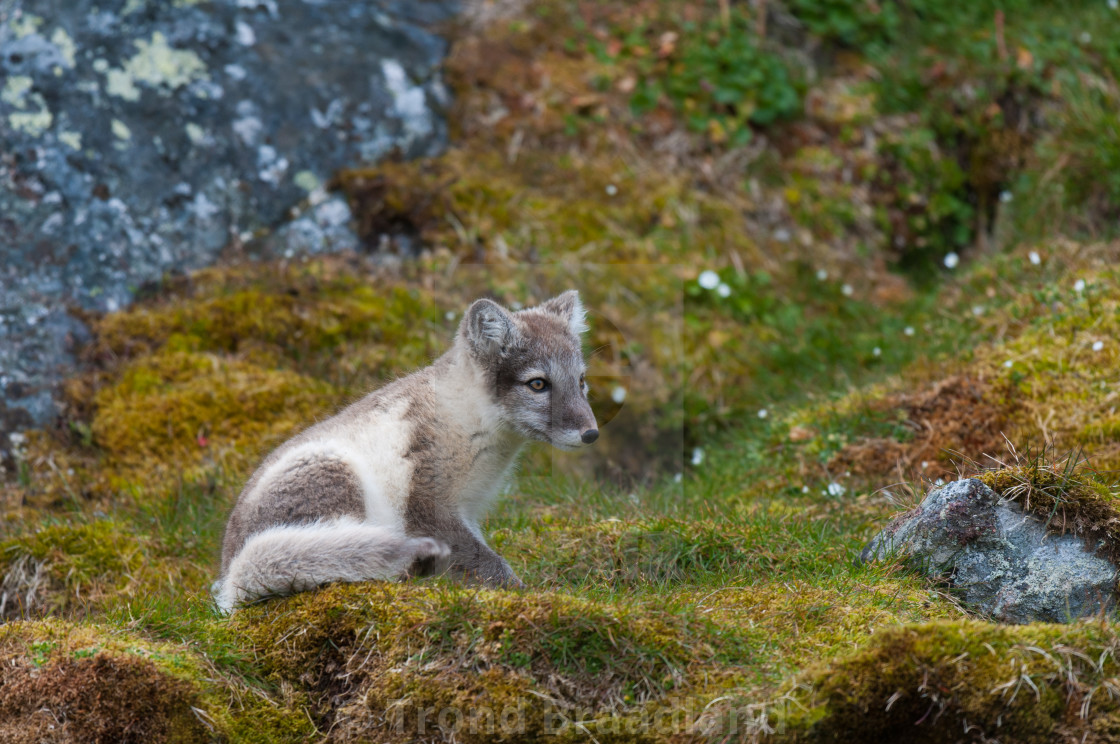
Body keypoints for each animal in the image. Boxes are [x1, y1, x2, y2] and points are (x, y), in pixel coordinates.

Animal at [210, 291, 595, 609]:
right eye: (538, 384)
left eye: (581, 381)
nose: (591, 434)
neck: (467, 418)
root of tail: (231, 576)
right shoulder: (427, 506)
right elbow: (487, 562)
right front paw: (527, 593)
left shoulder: (467, 510)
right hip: (337, 479)